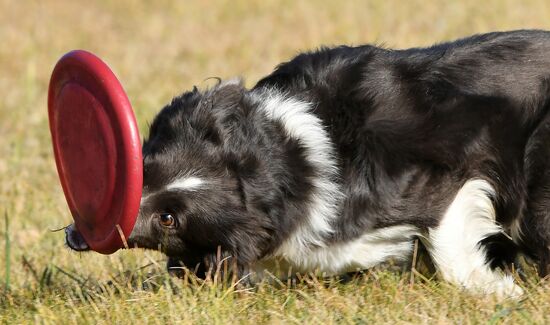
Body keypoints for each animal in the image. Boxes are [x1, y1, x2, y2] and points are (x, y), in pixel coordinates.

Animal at [66, 29, 550, 296]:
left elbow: (449, 243)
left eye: (169, 219)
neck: (292, 160)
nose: (78, 231)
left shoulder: (447, 174)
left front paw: (496, 290)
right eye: (145, 168)